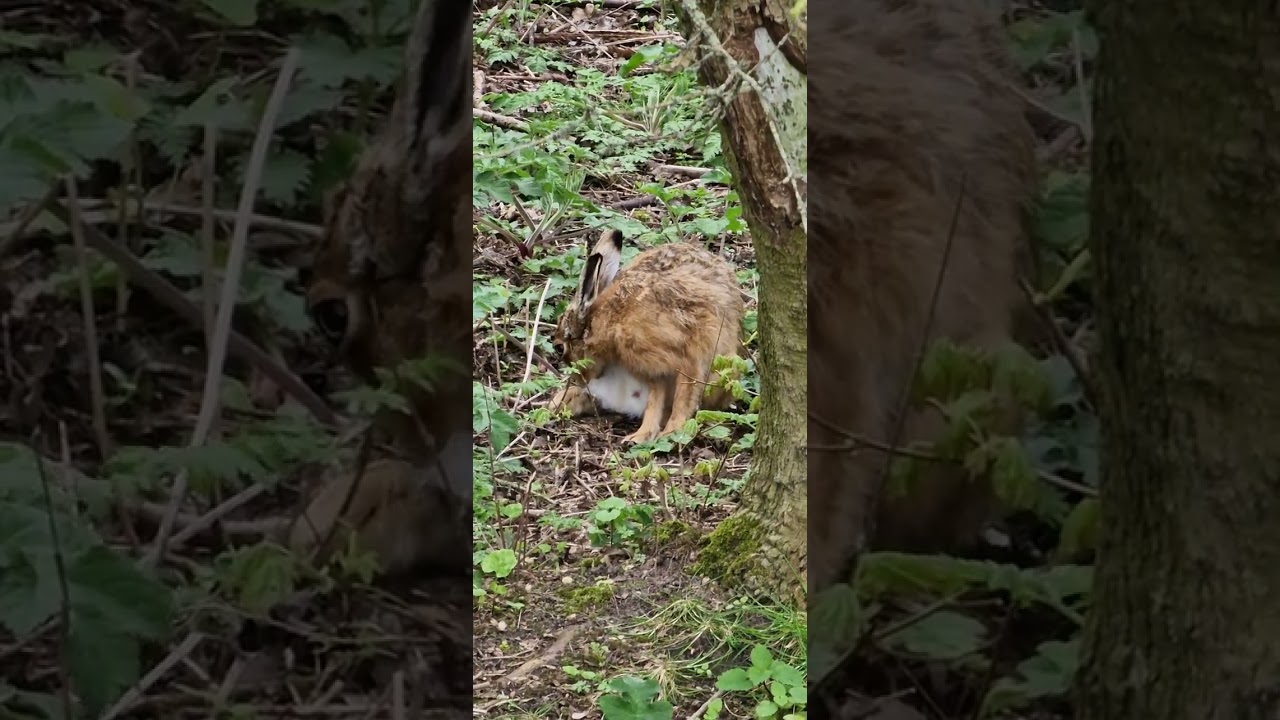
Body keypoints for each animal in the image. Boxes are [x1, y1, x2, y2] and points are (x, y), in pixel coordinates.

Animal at [550, 229, 745, 443]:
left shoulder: (683, 355)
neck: (605, 322)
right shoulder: (651, 369)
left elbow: (684, 394)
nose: (579, 380)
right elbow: (655, 399)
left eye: (560, 347)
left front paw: (671, 432)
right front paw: (642, 435)